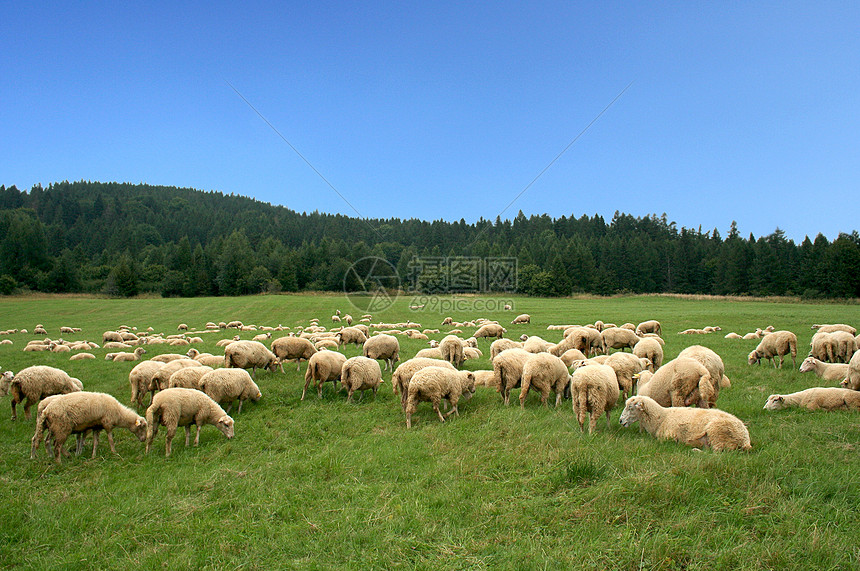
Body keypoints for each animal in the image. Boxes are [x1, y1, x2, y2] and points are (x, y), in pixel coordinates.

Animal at [620, 396, 752, 454]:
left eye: (630, 408)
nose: (620, 421)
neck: (661, 418)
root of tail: (745, 439)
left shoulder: (668, 437)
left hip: (717, 432)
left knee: (717, 452)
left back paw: (695, 450)